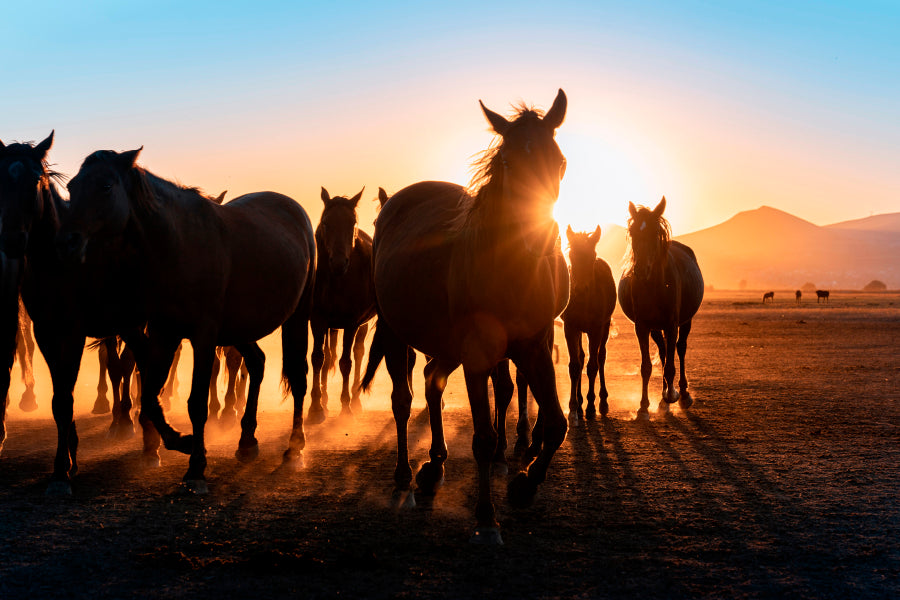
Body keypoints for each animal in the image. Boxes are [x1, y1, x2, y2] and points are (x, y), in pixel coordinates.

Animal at [49, 147, 315, 494]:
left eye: (105, 186)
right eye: (72, 186)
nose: (66, 241)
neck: (179, 245)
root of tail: (294, 210)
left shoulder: (203, 336)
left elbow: (196, 402)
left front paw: (196, 468)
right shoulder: (165, 334)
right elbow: (150, 396)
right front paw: (181, 442)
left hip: (297, 317)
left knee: (298, 378)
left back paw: (294, 450)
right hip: (239, 328)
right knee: (257, 363)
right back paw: (246, 441)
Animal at [308, 187, 376, 422]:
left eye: (352, 223)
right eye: (326, 223)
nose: (338, 263)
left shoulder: (351, 322)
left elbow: (347, 362)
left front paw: (346, 406)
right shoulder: (318, 319)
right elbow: (318, 359)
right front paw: (316, 407)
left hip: (361, 325)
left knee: (358, 352)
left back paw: (355, 400)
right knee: (329, 355)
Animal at [363, 90, 569, 544]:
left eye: (560, 162)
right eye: (508, 163)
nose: (541, 239)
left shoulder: (535, 347)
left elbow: (556, 424)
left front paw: (524, 485)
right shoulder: (478, 354)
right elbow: (483, 437)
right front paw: (487, 517)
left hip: (446, 343)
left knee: (433, 382)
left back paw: (434, 464)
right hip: (396, 333)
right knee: (403, 400)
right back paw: (405, 474)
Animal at [562, 225, 617, 420]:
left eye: (592, 257)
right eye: (571, 256)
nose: (580, 290)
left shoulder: (595, 329)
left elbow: (592, 366)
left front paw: (591, 406)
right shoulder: (571, 327)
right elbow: (575, 365)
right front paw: (573, 406)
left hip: (605, 326)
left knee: (601, 357)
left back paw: (602, 402)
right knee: (581, 357)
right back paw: (579, 404)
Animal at [618, 197, 704, 416]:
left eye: (655, 233)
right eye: (633, 232)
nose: (640, 270)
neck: (654, 286)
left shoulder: (672, 325)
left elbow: (671, 365)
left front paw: (673, 395)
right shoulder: (641, 326)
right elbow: (646, 366)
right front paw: (644, 405)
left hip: (685, 322)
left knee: (680, 349)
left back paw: (682, 394)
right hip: (656, 328)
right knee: (665, 351)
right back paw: (663, 400)